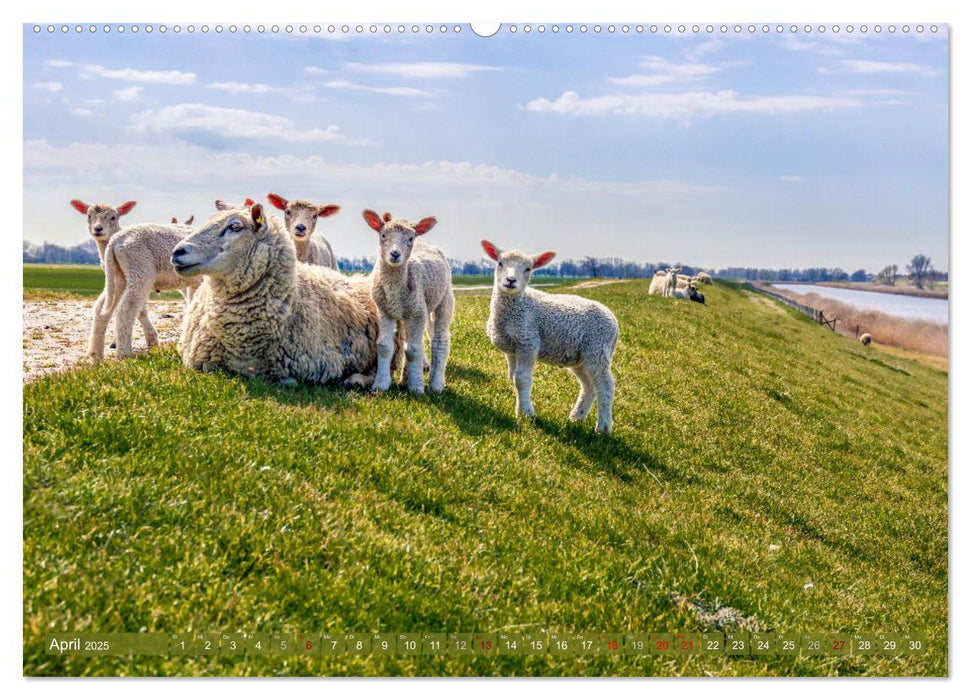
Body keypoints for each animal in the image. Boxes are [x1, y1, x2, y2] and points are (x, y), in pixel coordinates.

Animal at [72, 198, 203, 358]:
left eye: (113, 217)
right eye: (89, 216)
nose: (98, 229)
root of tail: (115, 241)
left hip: (118, 277)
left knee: (102, 308)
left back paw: (96, 355)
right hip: (140, 268)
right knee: (126, 309)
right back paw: (123, 355)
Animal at [173, 202, 390, 388]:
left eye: (235, 227)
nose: (177, 252)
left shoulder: (321, 365)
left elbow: (287, 381)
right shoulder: (200, 361)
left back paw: (357, 380)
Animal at [364, 208, 456, 394]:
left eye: (410, 238)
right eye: (383, 235)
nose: (395, 254)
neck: (394, 289)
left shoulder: (417, 313)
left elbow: (413, 350)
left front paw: (417, 388)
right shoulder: (384, 310)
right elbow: (384, 346)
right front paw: (380, 384)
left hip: (443, 299)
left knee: (440, 340)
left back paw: (436, 384)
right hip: (411, 312)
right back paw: (406, 377)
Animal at [482, 239, 620, 432]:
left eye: (528, 269)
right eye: (500, 263)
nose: (511, 281)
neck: (517, 307)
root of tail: (612, 319)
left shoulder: (528, 341)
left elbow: (522, 379)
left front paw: (527, 413)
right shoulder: (511, 349)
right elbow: (513, 377)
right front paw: (520, 410)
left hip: (597, 348)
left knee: (605, 384)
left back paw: (603, 427)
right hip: (581, 356)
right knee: (589, 386)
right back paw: (576, 417)